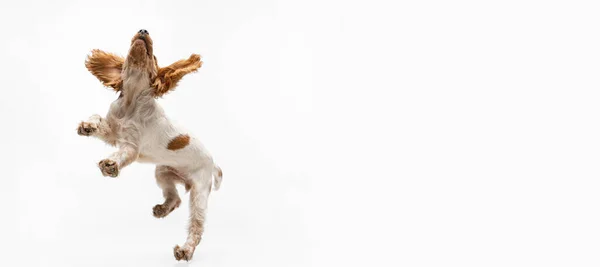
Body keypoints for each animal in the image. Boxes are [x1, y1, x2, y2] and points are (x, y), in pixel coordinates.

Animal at [77, 29, 221, 262]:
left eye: (153, 57)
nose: (143, 30)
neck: (131, 103)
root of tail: (214, 164)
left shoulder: (131, 146)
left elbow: (122, 154)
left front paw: (110, 164)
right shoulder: (114, 132)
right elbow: (98, 117)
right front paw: (88, 125)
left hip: (199, 192)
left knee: (197, 228)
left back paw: (186, 250)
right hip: (163, 173)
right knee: (175, 198)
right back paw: (162, 209)